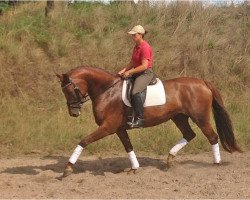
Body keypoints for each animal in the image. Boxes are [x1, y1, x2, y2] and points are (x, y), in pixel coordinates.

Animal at [56, 66, 240, 177]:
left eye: (70, 91)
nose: (74, 113)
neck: (107, 91)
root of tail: (202, 81)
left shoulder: (107, 127)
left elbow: (84, 141)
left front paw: (68, 168)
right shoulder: (119, 129)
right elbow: (128, 147)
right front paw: (134, 168)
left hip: (200, 118)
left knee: (212, 137)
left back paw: (216, 164)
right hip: (179, 117)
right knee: (189, 134)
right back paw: (169, 159)